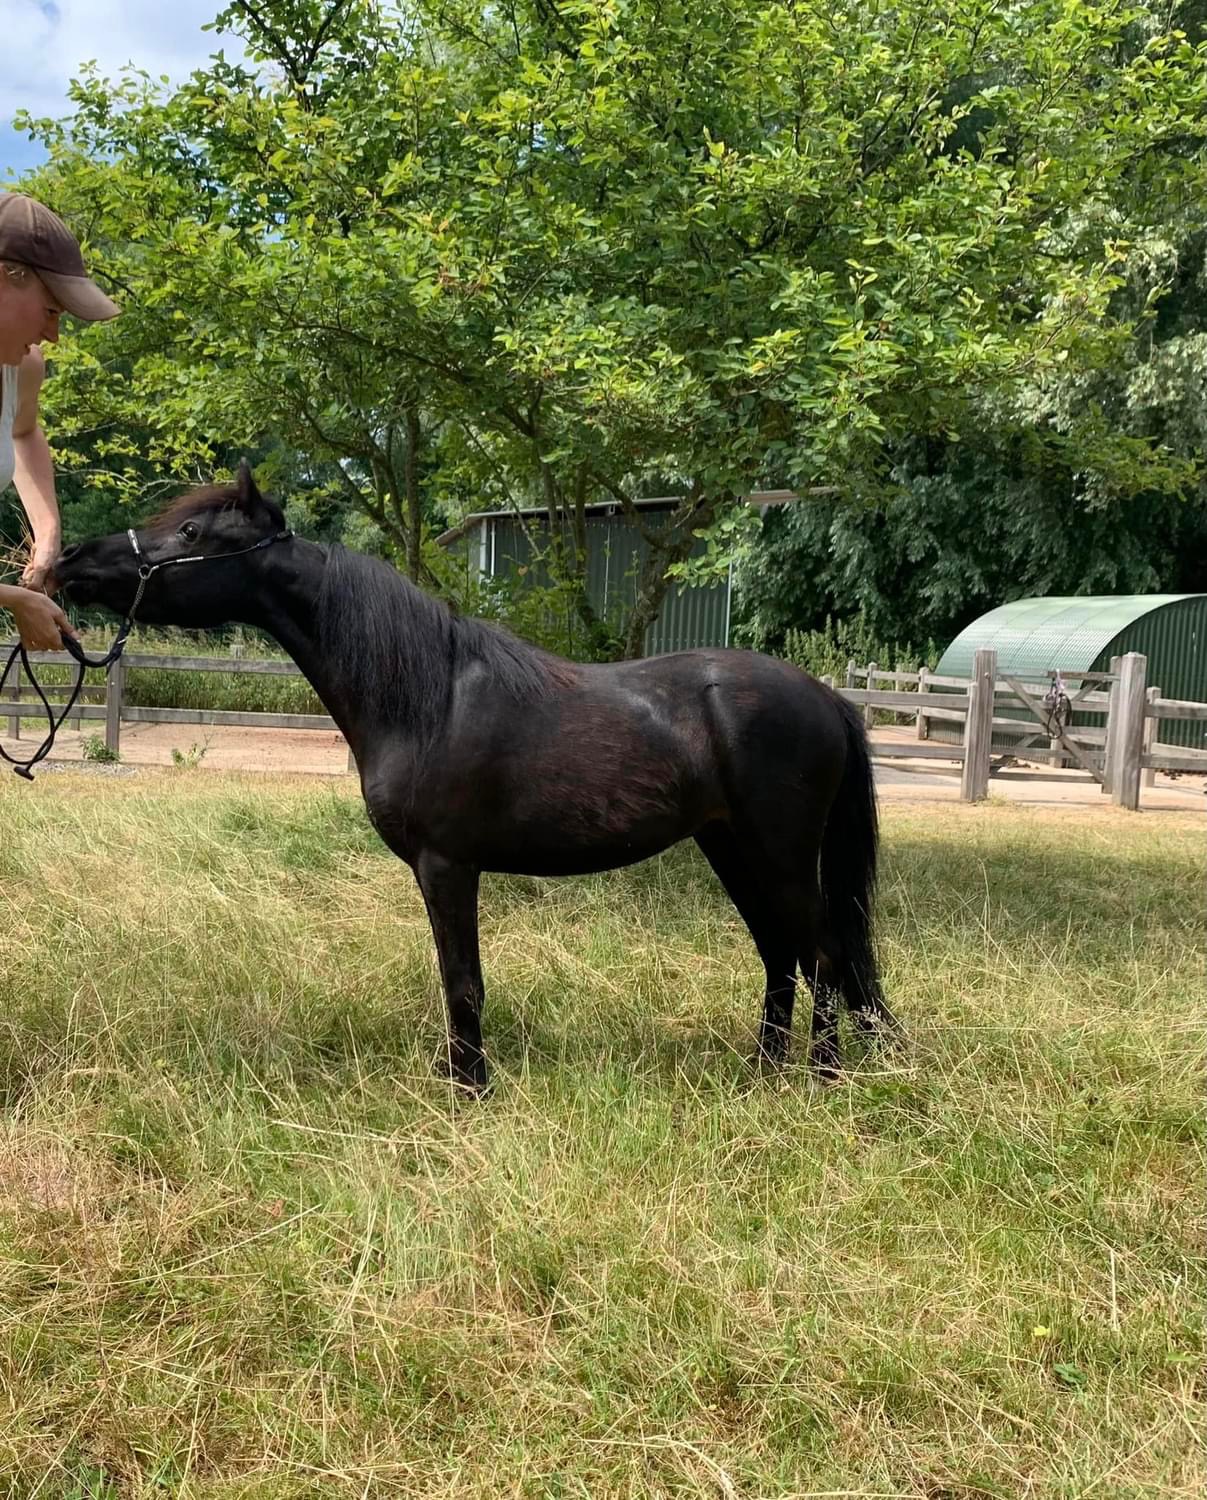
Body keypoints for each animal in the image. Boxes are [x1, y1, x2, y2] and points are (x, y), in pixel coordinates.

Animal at [52, 463, 895, 1091]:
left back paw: (820, 1080)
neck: (426, 696)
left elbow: (463, 980)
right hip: (731, 849)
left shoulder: (447, 865)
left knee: (823, 956)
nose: (73, 562)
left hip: (779, 855)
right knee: (781, 955)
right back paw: (762, 1074)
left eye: (191, 532)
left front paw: (469, 1089)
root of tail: (826, 697)